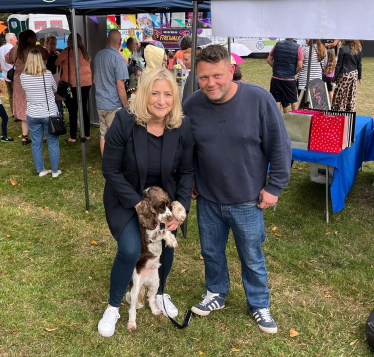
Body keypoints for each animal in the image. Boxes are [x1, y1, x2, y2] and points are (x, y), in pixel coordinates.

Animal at [125, 186, 186, 330]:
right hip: (135, 288)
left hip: (155, 283)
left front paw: (180, 213)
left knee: (151, 298)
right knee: (132, 308)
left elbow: (176, 202)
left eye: (167, 205)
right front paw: (172, 241)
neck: (158, 221)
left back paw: (156, 311)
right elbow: (163, 232)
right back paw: (132, 324)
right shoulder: (151, 236)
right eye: (160, 207)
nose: (170, 217)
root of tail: (144, 281)